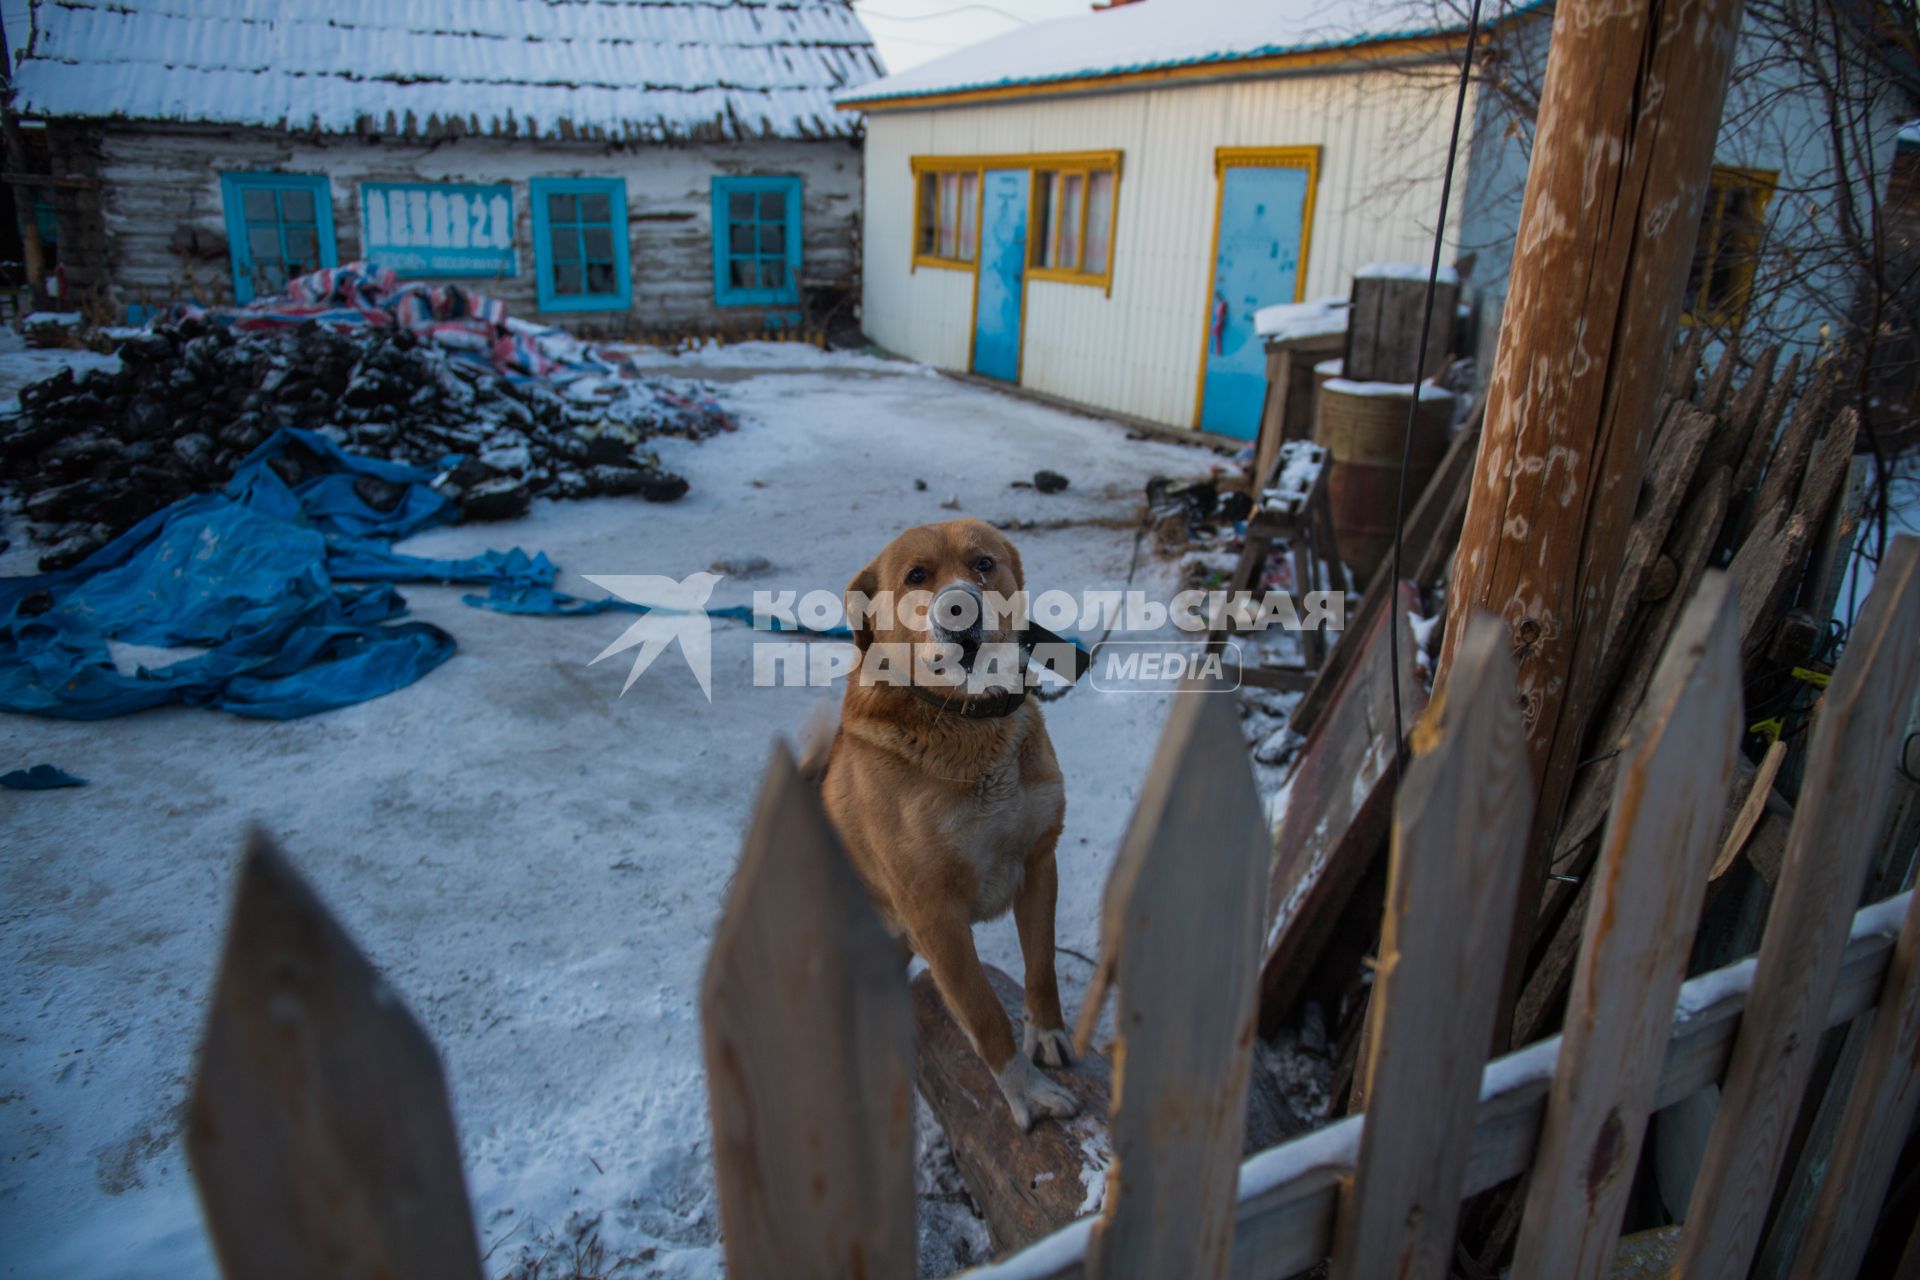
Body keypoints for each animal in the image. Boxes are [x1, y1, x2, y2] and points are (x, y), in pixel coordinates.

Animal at [814, 518, 1082, 1128]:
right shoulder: (935, 918)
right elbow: (984, 1016)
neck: (970, 726)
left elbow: (1042, 967)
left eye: (983, 564)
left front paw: (1047, 1033)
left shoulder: (1039, 863)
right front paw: (1025, 1093)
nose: (959, 608)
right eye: (916, 576)